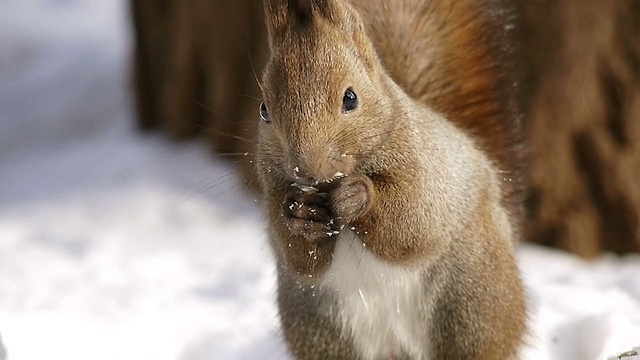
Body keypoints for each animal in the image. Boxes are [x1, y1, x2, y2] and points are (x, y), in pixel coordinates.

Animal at [252, 0, 528, 358]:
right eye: (264, 110)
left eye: (350, 98)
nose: (306, 169)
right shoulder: (273, 189)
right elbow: (300, 260)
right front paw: (301, 213)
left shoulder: (429, 176)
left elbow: (412, 223)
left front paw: (356, 195)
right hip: (320, 327)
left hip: (470, 299)